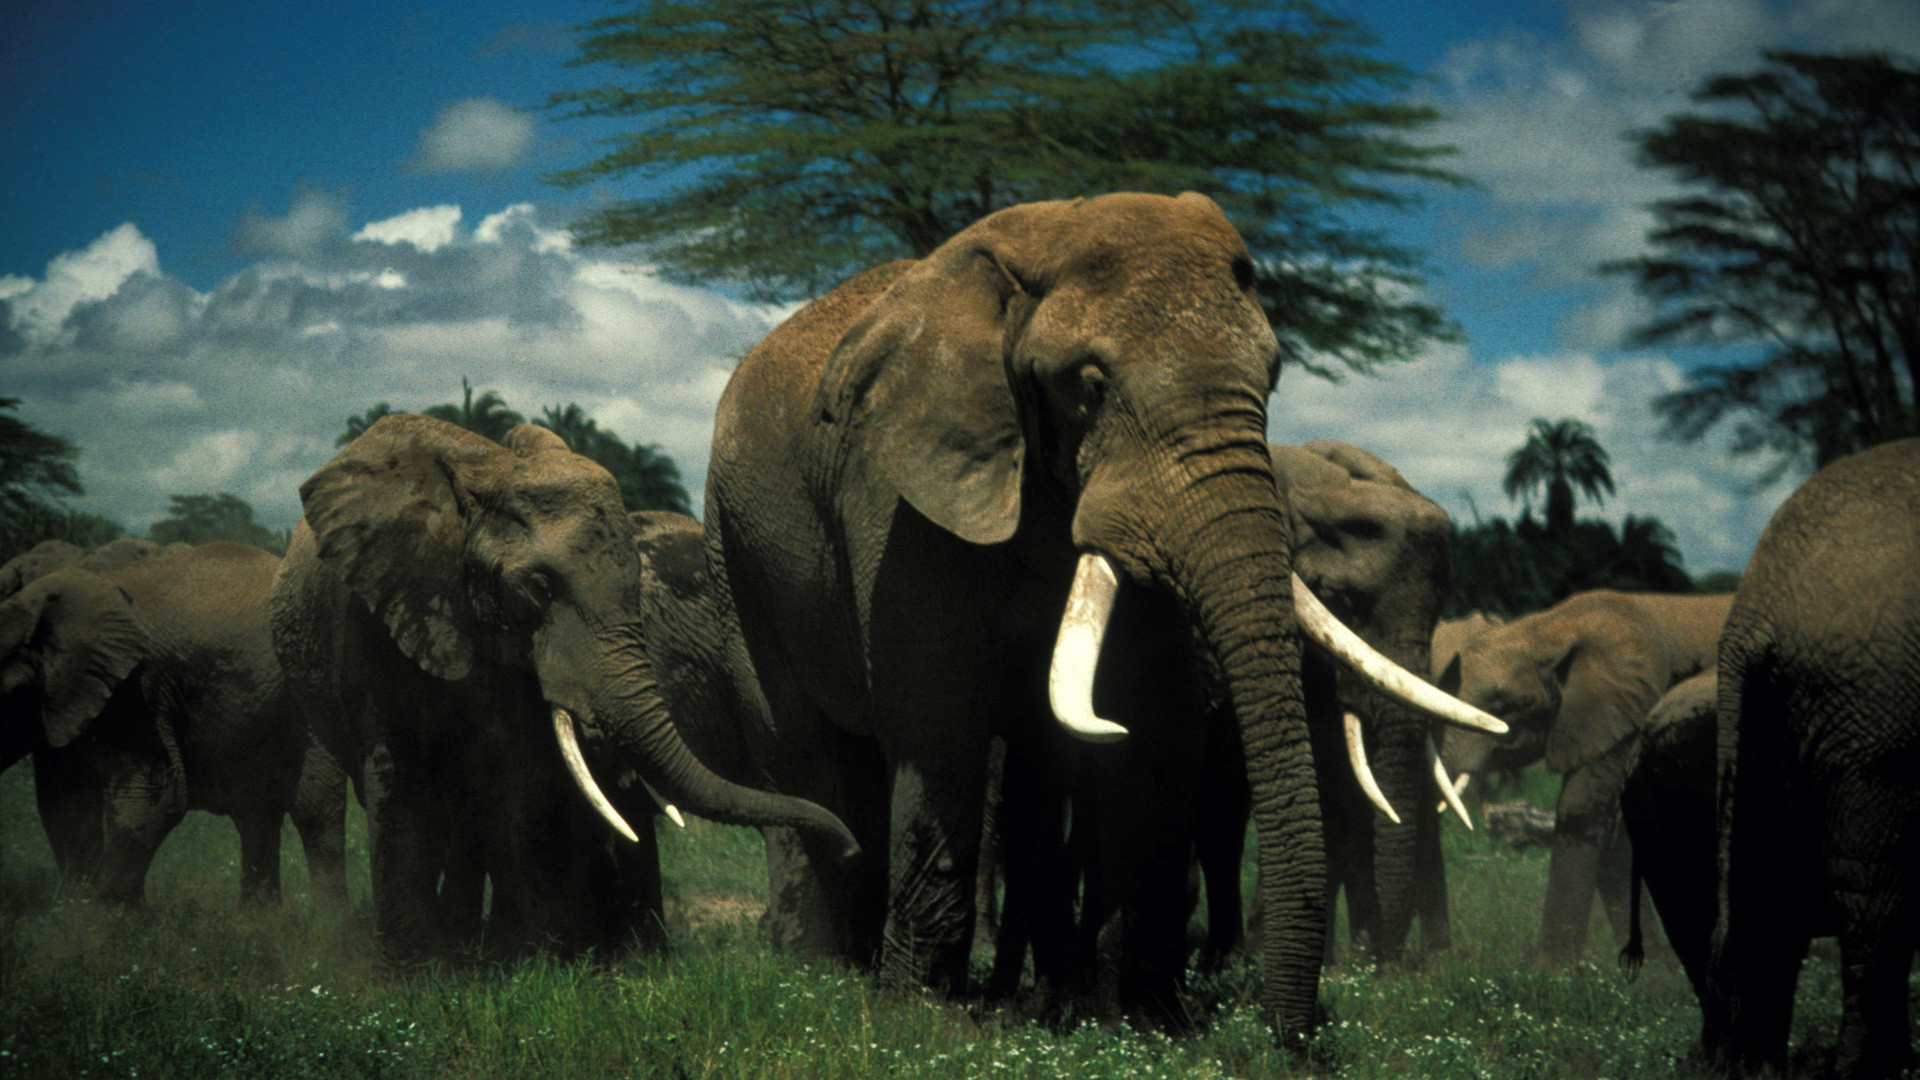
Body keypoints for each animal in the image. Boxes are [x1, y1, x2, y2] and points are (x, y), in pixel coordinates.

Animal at [0, 541, 345, 906]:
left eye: (11, 694)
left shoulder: (137, 689)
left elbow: (150, 798)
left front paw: (106, 913)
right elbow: (63, 803)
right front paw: (73, 906)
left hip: (311, 693)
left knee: (314, 809)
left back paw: (325, 919)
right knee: (256, 812)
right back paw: (259, 916)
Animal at [270, 415, 857, 965]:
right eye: (538, 588)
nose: (851, 846)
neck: (484, 474)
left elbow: (519, 781)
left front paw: (535, 957)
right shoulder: (375, 614)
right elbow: (398, 778)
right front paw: (416, 974)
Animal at [699, 192, 1500, 1041]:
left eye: (1273, 377)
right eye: (1088, 384)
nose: (1289, 1036)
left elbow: (1146, 731)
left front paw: (1138, 1017)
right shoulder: (904, 497)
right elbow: (939, 725)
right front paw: (921, 1018)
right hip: (733, 541)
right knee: (801, 753)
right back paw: (820, 972)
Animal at [1437, 588, 1732, 961]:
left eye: (1503, 708)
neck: (1551, 628)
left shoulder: (1630, 713)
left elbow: (1581, 811)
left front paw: (1553, 974)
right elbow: (1614, 831)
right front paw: (1650, 974)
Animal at [1707, 437, 1920, 1079]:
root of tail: (1755, 610)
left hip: (1780, 712)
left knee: (1771, 889)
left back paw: (1752, 1069)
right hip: (1874, 713)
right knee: (1873, 906)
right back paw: (1868, 1070)